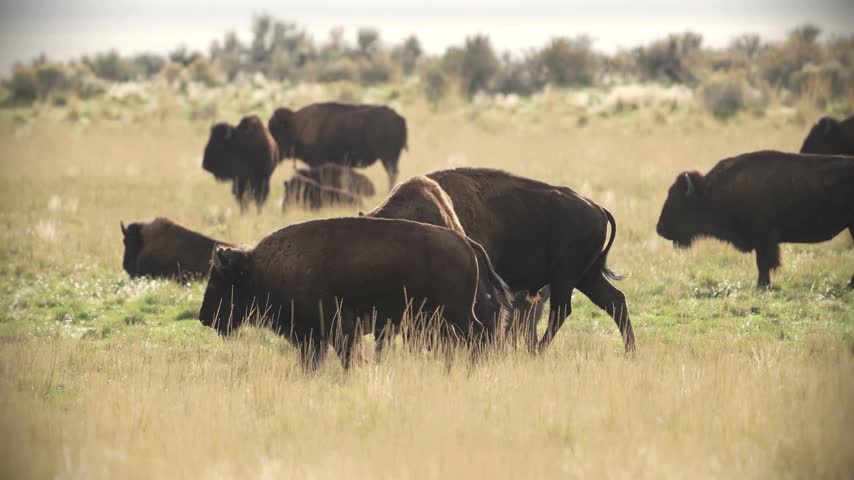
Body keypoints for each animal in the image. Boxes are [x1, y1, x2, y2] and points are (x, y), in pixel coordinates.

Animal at [198, 217, 511, 370]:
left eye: (217, 281)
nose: (203, 318)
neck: (259, 268)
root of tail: (466, 243)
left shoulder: (335, 330)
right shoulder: (314, 338)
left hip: (457, 316)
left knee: (477, 339)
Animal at [268, 102, 407, 190]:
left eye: (276, 132)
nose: (273, 153)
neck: (294, 126)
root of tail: (399, 118)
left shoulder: (319, 163)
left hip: (388, 158)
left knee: (392, 173)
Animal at [366, 169, 635, 354]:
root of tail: (596, 207)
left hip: (566, 276)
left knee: (563, 310)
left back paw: (536, 352)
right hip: (586, 277)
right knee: (615, 302)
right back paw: (630, 352)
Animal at [656, 150, 854, 288]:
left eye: (678, 202)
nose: (660, 228)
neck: (712, 192)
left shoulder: (764, 239)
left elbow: (764, 263)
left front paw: (762, 286)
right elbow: (762, 263)